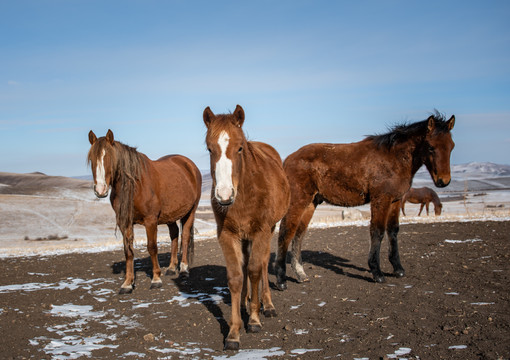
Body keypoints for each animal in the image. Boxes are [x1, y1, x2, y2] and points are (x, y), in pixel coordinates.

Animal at [87, 131, 201, 294]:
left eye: (109, 157)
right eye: (91, 159)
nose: (100, 190)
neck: (135, 185)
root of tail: (189, 164)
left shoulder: (150, 221)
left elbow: (152, 247)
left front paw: (156, 279)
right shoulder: (124, 222)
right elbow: (128, 251)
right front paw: (127, 283)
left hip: (190, 211)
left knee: (185, 237)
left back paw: (184, 269)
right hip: (171, 215)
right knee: (174, 234)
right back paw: (172, 267)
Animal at [203, 105, 290, 352]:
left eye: (240, 147)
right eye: (209, 148)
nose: (224, 196)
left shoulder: (261, 231)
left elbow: (253, 271)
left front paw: (254, 319)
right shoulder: (227, 235)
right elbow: (235, 277)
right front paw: (233, 332)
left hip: (269, 230)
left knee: (262, 264)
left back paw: (266, 305)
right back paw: (244, 301)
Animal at [276, 111, 456, 288]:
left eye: (451, 146)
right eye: (431, 147)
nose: (443, 181)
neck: (394, 159)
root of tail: (288, 160)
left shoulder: (395, 201)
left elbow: (393, 231)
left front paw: (398, 269)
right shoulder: (381, 200)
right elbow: (377, 231)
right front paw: (377, 273)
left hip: (311, 203)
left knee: (299, 234)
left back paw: (301, 274)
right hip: (298, 201)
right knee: (286, 232)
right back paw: (281, 280)